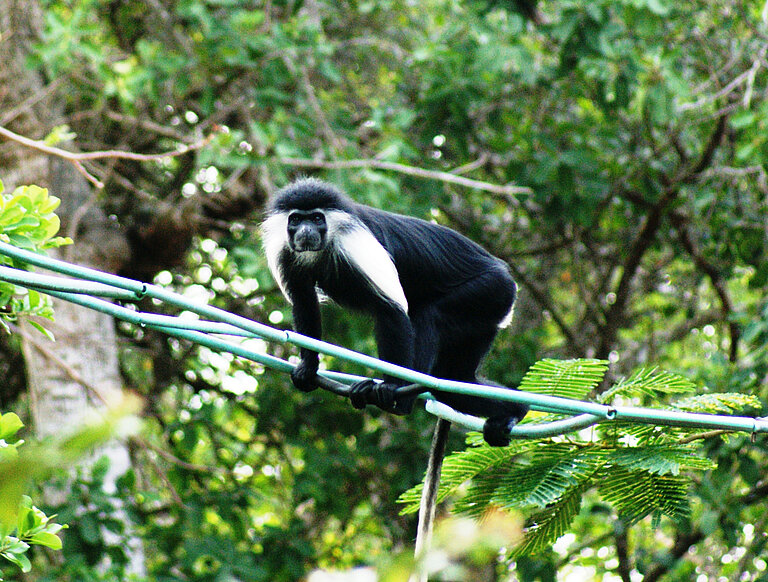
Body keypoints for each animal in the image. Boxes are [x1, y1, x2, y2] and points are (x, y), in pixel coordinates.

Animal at [260, 178, 528, 448]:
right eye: (296, 219)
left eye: (316, 218)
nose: (306, 230)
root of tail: (505, 275)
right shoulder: (286, 254)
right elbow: (304, 301)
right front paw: (308, 368)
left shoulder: (355, 245)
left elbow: (391, 310)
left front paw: (391, 386)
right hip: (483, 323)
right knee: (453, 381)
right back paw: (513, 412)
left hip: (488, 292)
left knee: (430, 317)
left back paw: (403, 398)